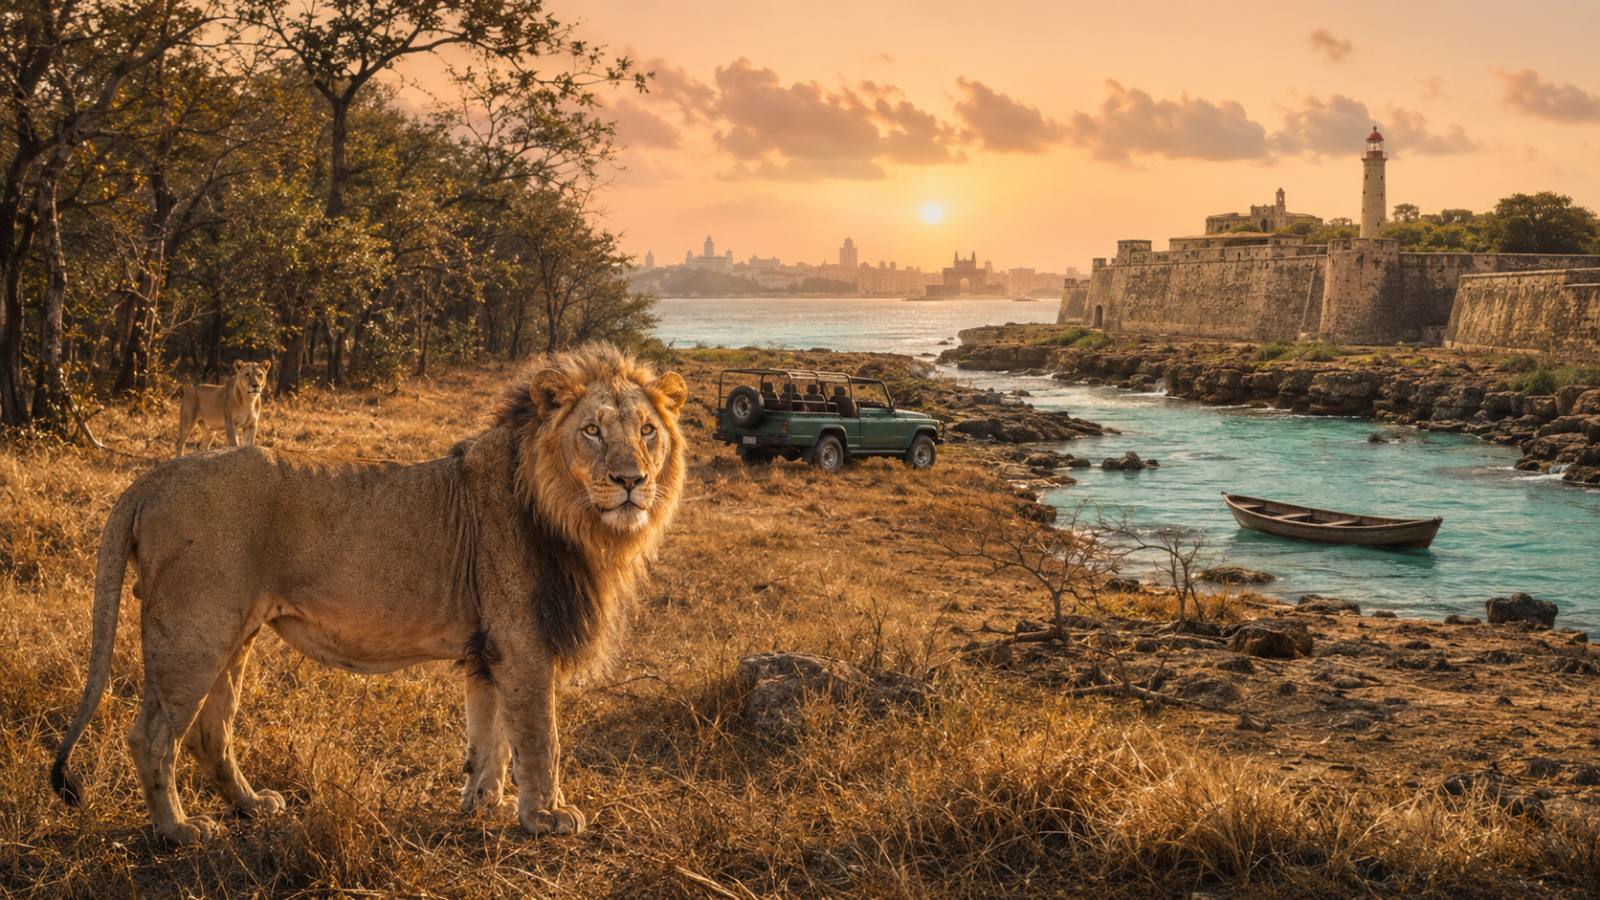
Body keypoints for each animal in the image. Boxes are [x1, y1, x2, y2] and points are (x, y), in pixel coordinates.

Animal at [51, 344, 688, 844]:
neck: (573, 517)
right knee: (152, 735)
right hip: (193, 632)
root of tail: (154, 476)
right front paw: (547, 817)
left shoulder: (488, 648)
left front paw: (486, 806)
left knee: (212, 733)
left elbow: (490, 737)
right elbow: (538, 735)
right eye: (592, 431)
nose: (632, 481)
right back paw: (177, 830)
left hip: (233, 635)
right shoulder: (522, 642)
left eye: (647, 431)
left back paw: (252, 806)